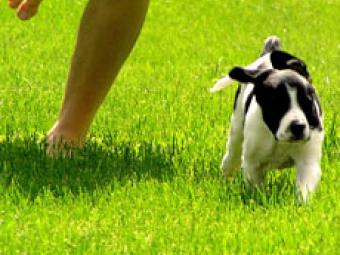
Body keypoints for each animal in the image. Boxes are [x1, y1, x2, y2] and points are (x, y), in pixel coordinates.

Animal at [210, 36, 324, 203]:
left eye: (308, 103)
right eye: (277, 105)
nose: (298, 126)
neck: (278, 138)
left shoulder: (308, 160)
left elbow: (304, 189)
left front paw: (301, 205)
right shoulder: (253, 164)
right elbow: (256, 188)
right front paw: (259, 201)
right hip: (237, 127)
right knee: (233, 152)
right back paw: (227, 171)